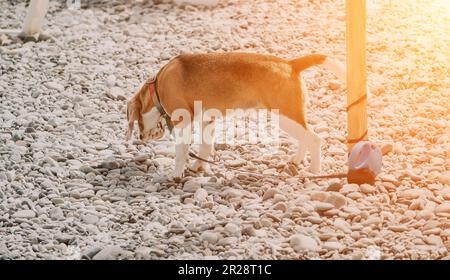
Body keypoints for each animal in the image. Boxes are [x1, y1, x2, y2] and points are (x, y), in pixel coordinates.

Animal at [126, 52, 344, 177]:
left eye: (137, 121)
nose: (140, 138)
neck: (157, 86)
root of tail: (290, 64)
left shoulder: (183, 123)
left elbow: (181, 152)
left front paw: (176, 175)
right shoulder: (208, 121)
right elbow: (205, 147)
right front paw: (199, 167)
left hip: (286, 117)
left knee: (314, 139)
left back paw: (314, 171)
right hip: (288, 118)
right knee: (305, 138)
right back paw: (296, 161)